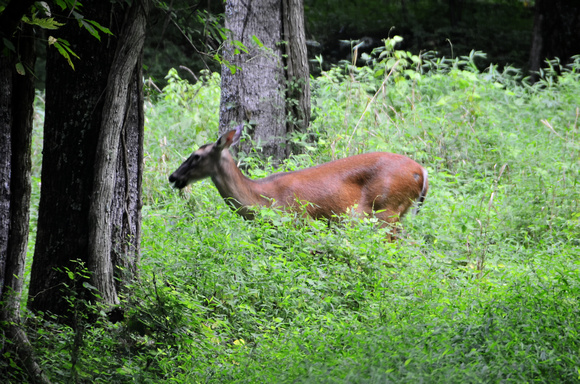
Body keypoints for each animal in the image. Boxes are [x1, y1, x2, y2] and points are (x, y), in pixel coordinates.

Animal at [168, 124, 426, 237]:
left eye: (196, 156)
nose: (173, 177)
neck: (262, 199)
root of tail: (422, 172)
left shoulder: (301, 221)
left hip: (386, 210)